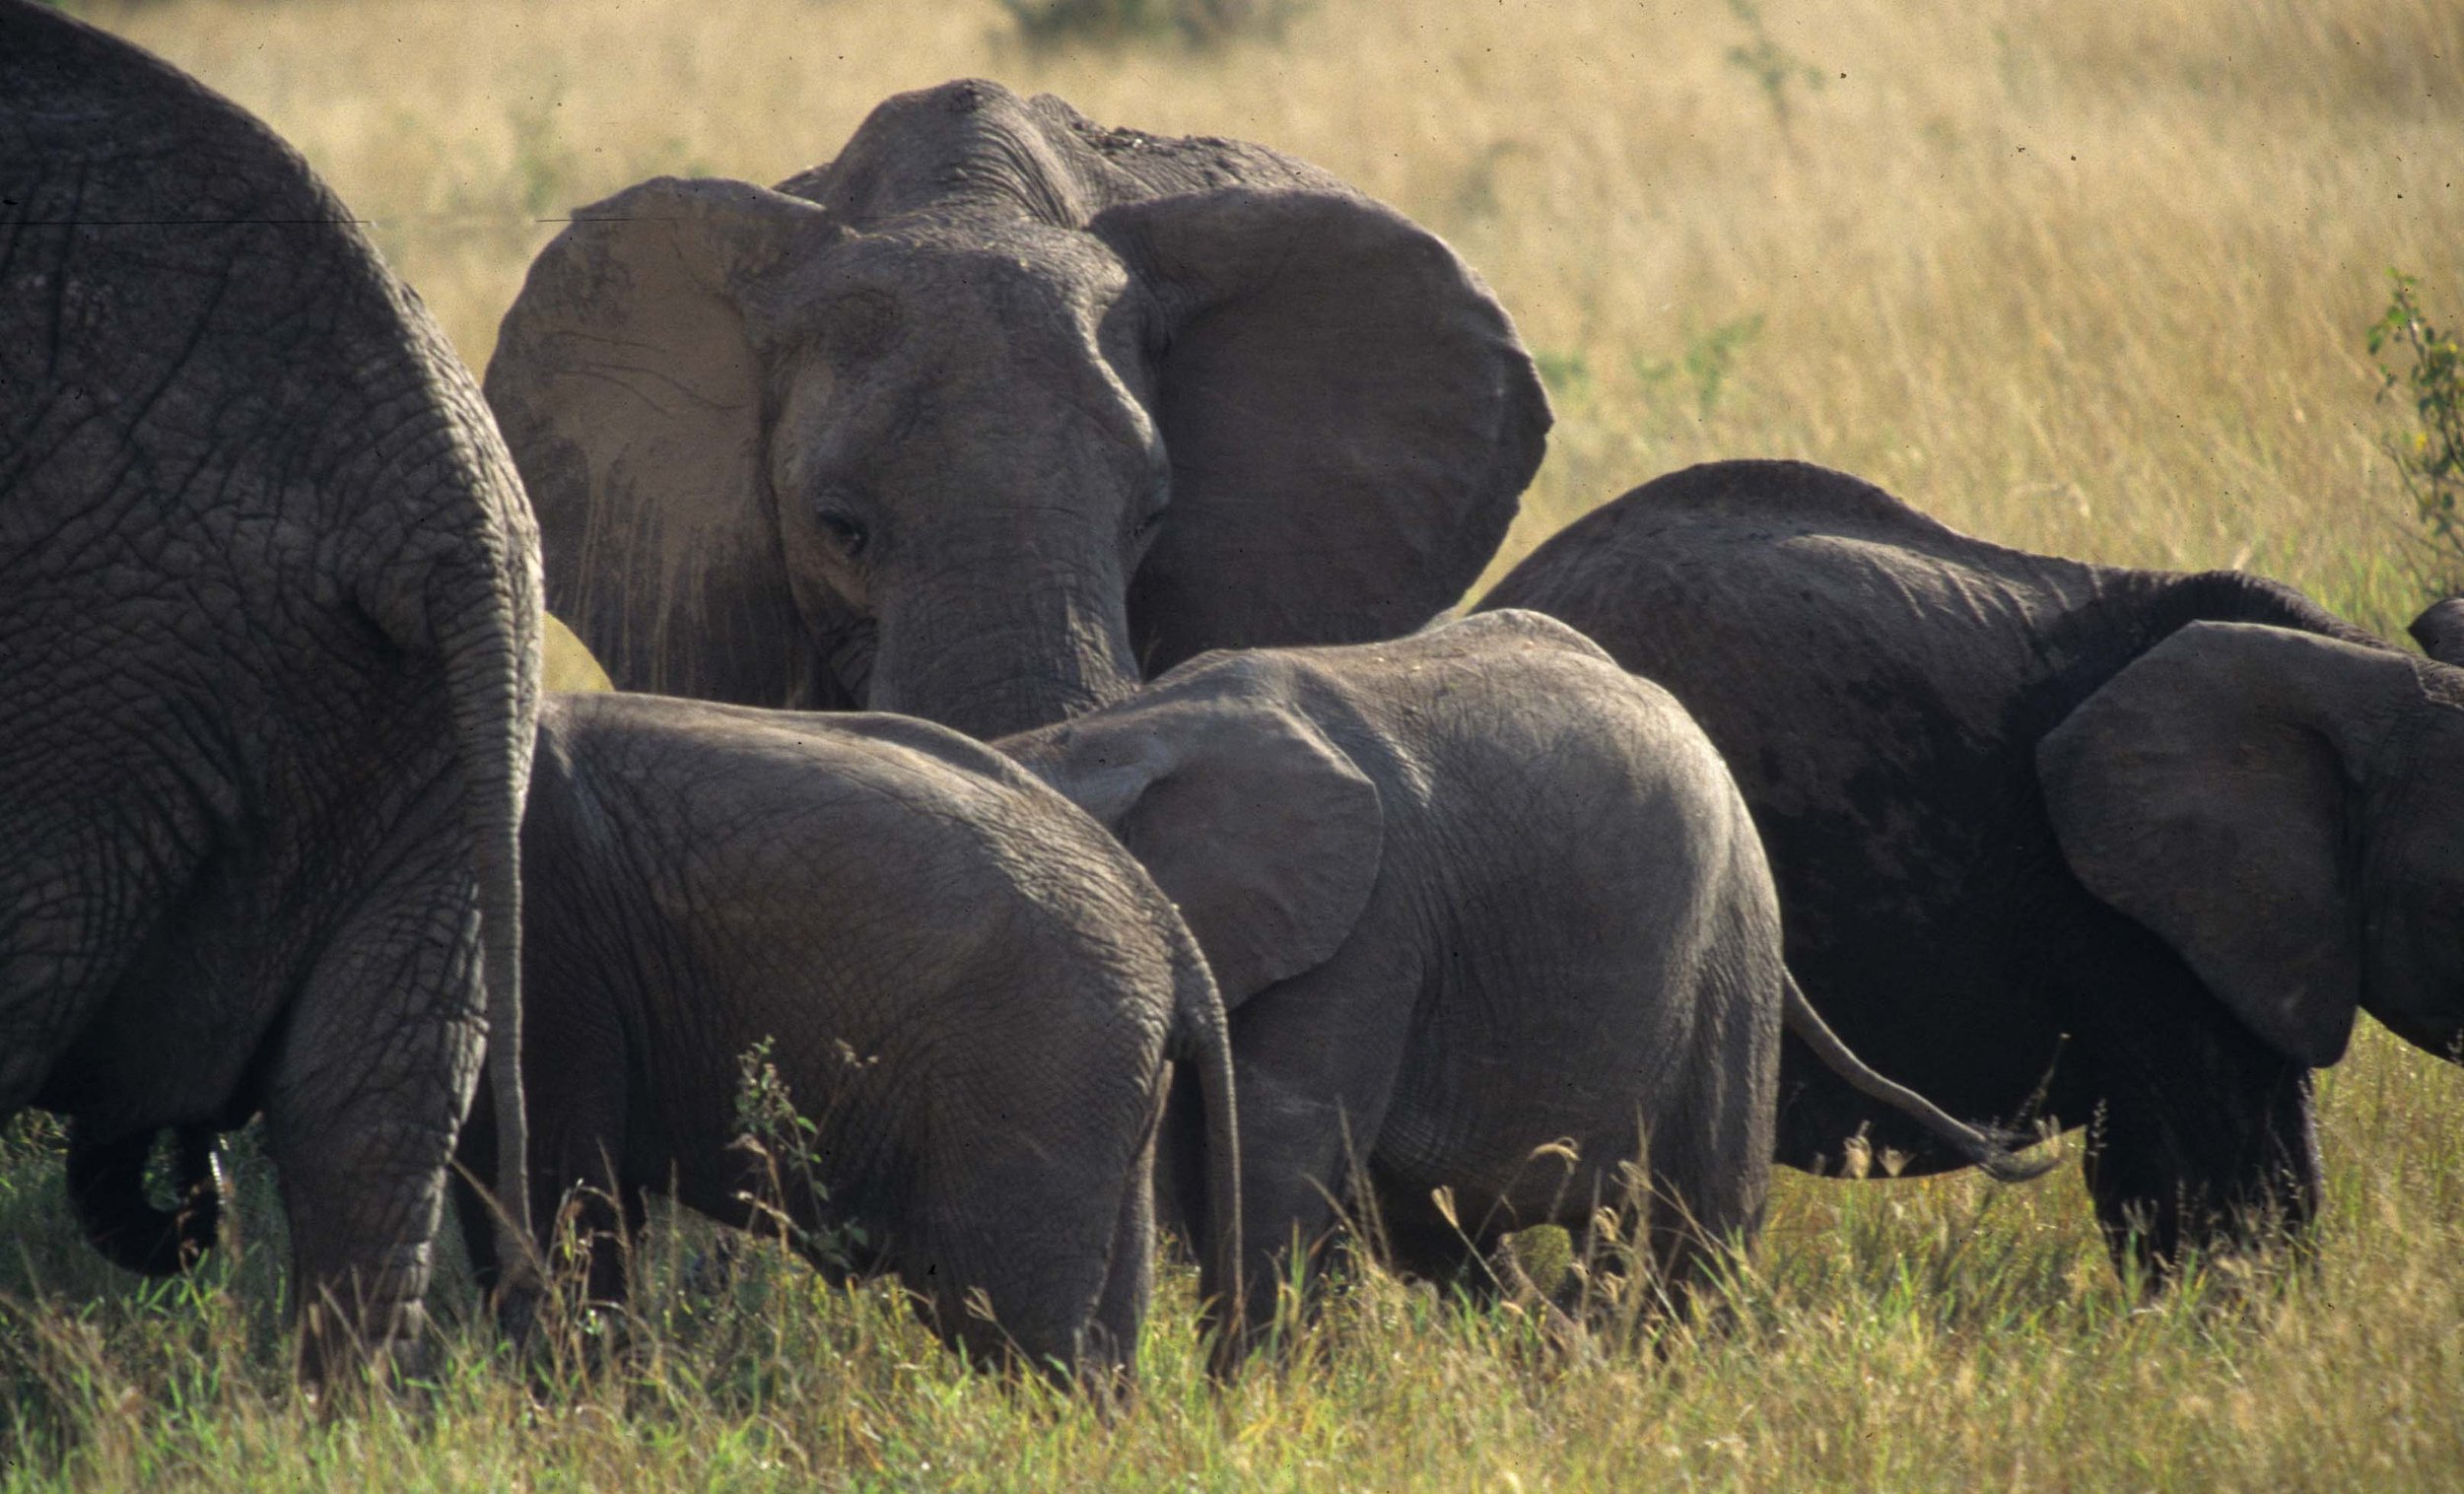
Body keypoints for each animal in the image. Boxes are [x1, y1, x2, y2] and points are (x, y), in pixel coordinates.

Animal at [449, 692, 1240, 1384]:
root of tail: (1173, 939)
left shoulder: (556, 947)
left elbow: (562, 1192)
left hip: (1039, 1055)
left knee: (1003, 1315)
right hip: (1100, 1065)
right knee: (1102, 1327)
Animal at [1001, 610, 2045, 1341]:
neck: (1116, 734)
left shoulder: (1370, 928)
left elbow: (1277, 1145)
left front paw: (1247, 1405)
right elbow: (1203, 1163)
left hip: (1729, 940)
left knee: (1697, 1217)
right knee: (1440, 1228)